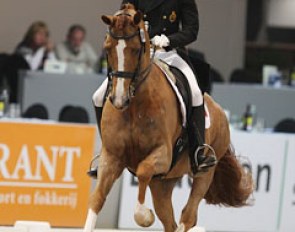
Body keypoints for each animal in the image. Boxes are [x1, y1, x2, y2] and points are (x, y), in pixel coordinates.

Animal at [84, 4, 254, 232]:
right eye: (108, 48)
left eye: (136, 49)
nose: (119, 99)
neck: (134, 107)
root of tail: (219, 110)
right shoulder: (111, 157)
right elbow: (97, 199)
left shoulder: (162, 154)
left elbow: (143, 170)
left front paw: (143, 216)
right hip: (163, 182)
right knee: (170, 220)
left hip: (204, 173)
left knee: (187, 215)